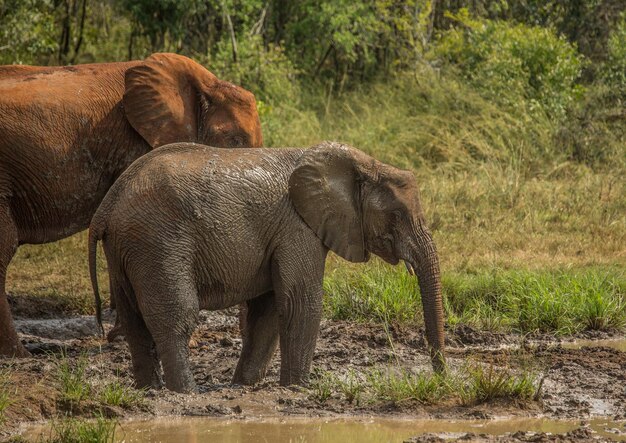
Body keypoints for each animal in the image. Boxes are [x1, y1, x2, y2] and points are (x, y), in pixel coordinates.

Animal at [0, 53, 262, 358]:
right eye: (234, 141)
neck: (206, 83)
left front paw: (122, 335)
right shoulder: (135, 145)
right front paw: (128, 336)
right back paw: (18, 354)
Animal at [88, 141, 444, 392]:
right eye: (396, 216)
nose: (440, 378)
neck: (362, 163)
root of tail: (107, 206)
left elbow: (269, 310)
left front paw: (244, 386)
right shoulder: (297, 227)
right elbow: (301, 302)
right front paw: (298, 389)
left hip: (126, 248)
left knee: (133, 318)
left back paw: (150, 390)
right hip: (158, 240)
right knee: (177, 317)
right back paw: (186, 393)